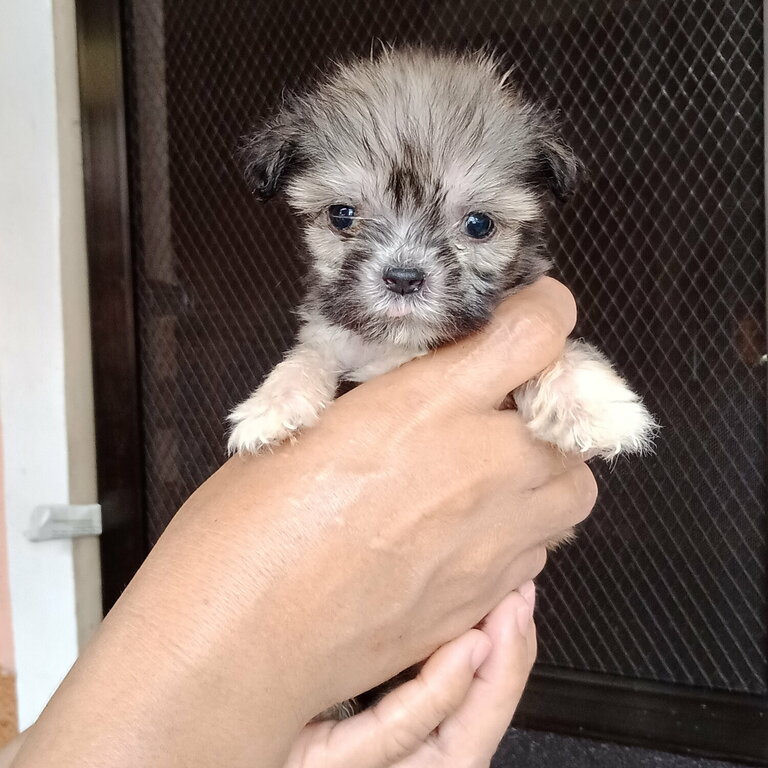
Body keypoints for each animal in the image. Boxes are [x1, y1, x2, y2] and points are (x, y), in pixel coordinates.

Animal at [225, 48, 656, 720]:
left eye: (478, 225)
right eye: (343, 216)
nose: (403, 278)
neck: (405, 346)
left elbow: (561, 355)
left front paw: (594, 401)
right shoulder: (333, 340)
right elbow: (308, 357)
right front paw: (271, 408)